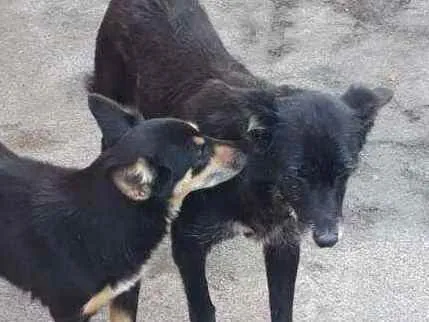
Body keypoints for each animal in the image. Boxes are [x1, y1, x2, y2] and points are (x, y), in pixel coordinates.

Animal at [88, 0, 394, 320]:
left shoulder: (283, 241)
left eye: (346, 172)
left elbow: (282, 305)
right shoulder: (187, 243)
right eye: (296, 174)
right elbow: (203, 307)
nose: (328, 240)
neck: (255, 179)